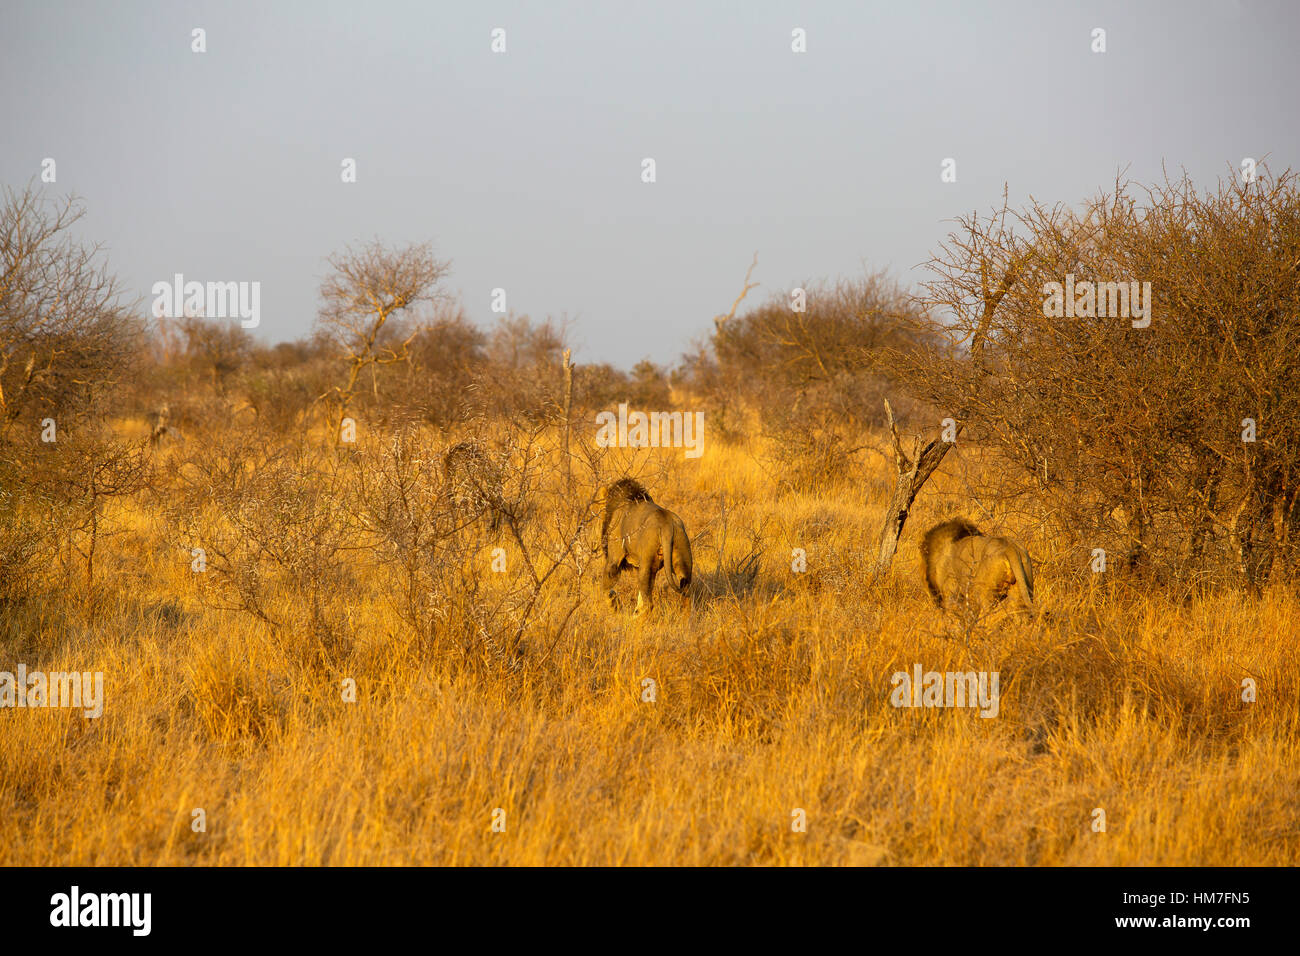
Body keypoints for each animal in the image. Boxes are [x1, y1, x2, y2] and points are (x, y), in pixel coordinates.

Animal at [603, 476, 696, 616]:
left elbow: (606, 588)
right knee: (686, 597)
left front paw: (614, 606)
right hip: (682, 557)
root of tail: (666, 524)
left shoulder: (614, 558)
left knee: (648, 604)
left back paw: (633, 618)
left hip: (647, 561)